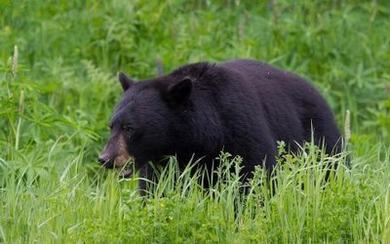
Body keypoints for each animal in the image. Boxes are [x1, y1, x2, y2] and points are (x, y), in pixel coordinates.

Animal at [98, 59, 342, 194]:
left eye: (129, 128)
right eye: (112, 126)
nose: (105, 158)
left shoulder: (239, 129)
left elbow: (253, 177)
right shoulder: (163, 163)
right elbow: (156, 189)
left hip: (318, 140)